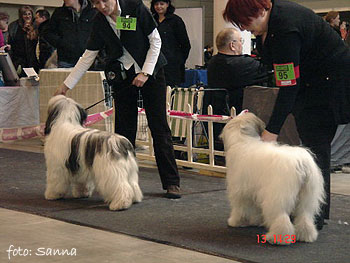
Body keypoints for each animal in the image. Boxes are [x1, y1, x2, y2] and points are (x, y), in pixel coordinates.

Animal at [221, 111, 326, 245]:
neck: (243, 140)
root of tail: (301, 163)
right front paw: (257, 221)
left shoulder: (240, 191)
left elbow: (241, 208)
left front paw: (236, 221)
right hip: (307, 197)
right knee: (304, 216)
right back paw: (306, 236)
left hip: (278, 196)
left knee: (281, 218)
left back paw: (276, 238)